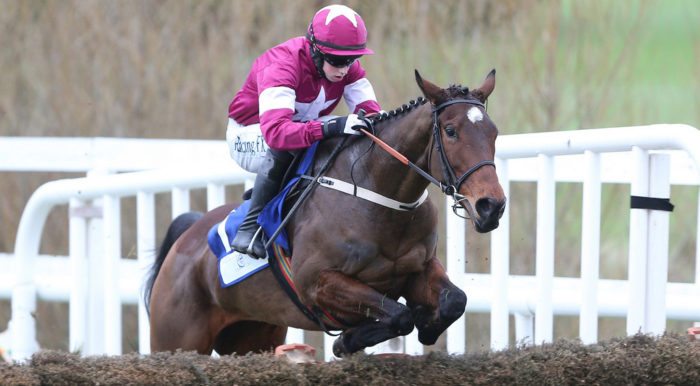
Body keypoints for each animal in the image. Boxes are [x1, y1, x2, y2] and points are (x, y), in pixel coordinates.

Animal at [145, 70, 506, 356]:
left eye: (494, 132)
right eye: (450, 131)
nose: (491, 206)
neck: (379, 199)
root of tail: (185, 241)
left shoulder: (416, 269)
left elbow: (454, 300)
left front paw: (428, 324)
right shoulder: (317, 283)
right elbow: (399, 315)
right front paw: (347, 341)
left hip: (253, 336)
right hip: (176, 339)